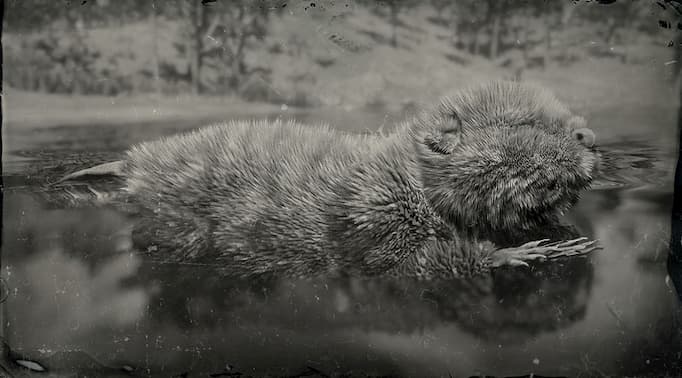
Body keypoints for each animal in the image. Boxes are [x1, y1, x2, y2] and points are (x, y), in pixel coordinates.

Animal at [59, 81, 600, 280]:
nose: (590, 136)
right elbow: (414, 263)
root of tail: (137, 171)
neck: (408, 172)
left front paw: (553, 236)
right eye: (526, 125)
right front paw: (527, 252)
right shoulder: (378, 210)